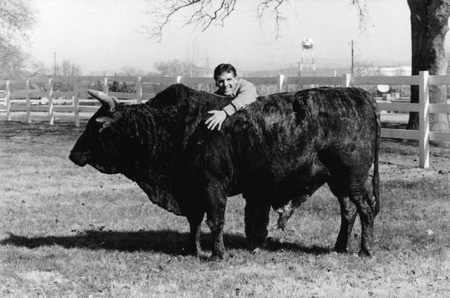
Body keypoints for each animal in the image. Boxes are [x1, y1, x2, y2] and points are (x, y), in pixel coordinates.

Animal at [70, 84, 380, 258]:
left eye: (95, 125)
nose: (73, 154)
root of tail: (358, 94)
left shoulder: (213, 186)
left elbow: (214, 221)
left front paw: (218, 254)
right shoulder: (191, 190)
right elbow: (195, 221)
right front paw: (192, 249)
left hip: (353, 176)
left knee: (366, 208)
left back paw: (365, 250)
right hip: (337, 181)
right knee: (348, 211)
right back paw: (339, 247)